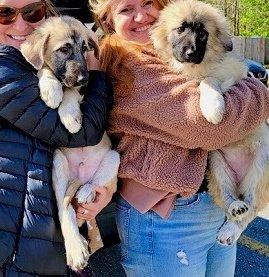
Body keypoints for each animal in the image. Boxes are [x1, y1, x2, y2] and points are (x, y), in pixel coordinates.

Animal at [21, 16, 120, 270]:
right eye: (64, 49)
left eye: (85, 48)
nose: (84, 78)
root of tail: (80, 177)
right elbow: (45, 70)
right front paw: (50, 88)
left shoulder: (85, 83)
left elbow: (71, 92)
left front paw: (69, 115)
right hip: (58, 165)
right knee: (66, 210)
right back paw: (76, 248)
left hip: (113, 158)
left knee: (96, 184)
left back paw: (86, 192)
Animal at [150, 0, 268, 245]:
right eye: (180, 29)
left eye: (203, 33)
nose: (191, 52)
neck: (194, 69)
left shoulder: (230, 77)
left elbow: (208, 80)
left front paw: (213, 107)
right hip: (216, 165)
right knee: (227, 199)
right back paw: (234, 208)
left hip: (263, 162)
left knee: (252, 207)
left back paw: (230, 229)